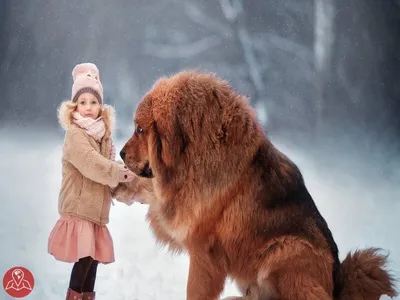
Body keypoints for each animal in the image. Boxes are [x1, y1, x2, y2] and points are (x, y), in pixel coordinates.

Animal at [117, 71, 396, 300]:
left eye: (140, 129)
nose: (120, 153)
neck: (196, 154)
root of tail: (338, 287)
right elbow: (150, 186)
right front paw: (122, 184)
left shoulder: (202, 248)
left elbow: (195, 291)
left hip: (286, 249)